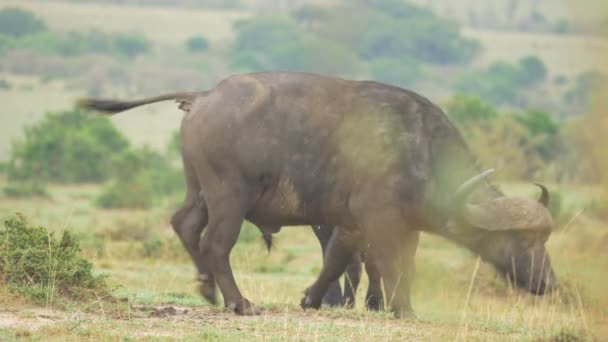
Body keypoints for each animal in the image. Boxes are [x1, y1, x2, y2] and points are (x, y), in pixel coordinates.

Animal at [79, 72, 556, 318]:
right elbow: (389, 263)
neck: (420, 147)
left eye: (545, 240)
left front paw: (312, 299)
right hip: (229, 197)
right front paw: (401, 310)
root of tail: (204, 96)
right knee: (214, 243)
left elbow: (344, 261)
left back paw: (208, 289)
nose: (549, 284)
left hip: (199, 191)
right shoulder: (378, 218)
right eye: (523, 240)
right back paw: (239, 302)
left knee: (184, 225)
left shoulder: (365, 223)